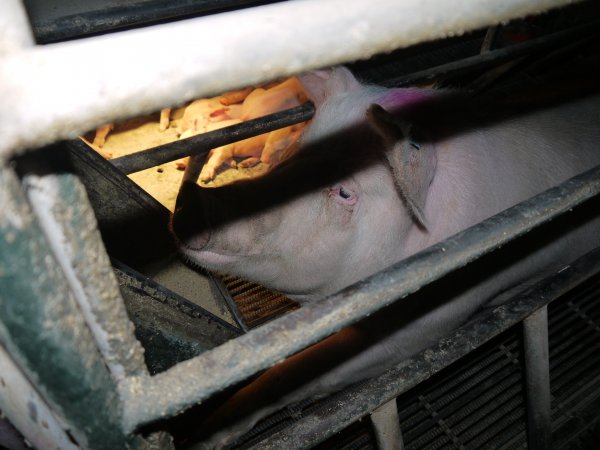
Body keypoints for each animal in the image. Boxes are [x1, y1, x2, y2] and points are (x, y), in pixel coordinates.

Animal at [170, 66, 600, 446]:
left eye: (345, 192)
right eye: (296, 149)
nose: (190, 199)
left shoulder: (431, 319)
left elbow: (304, 371)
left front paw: (202, 436)